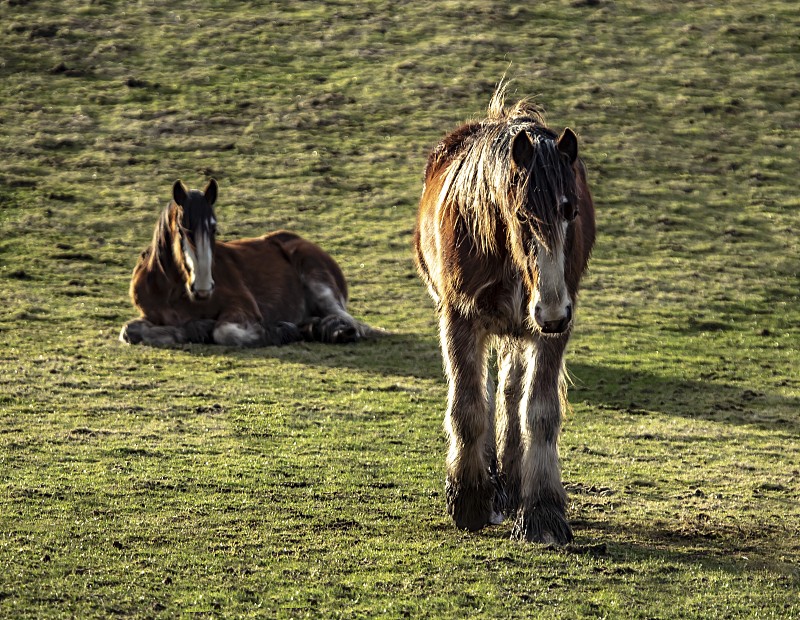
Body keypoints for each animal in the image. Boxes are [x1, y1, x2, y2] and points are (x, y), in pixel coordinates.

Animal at [120, 178, 380, 348]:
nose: (203, 288)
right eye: (184, 229)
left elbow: (224, 332)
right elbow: (130, 331)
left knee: (352, 323)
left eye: (214, 228)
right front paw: (194, 329)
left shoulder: (243, 307)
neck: (173, 292)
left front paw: (282, 330)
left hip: (319, 282)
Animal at [416, 83, 596, 544]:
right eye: (521, 214)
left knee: (511, 396)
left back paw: (513, 484)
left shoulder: (548, 333)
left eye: (570, 211)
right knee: (484, 391)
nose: (553, 311)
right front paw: (469, 499)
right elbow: (468, 407)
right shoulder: (459, 318)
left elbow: (540, 412)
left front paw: (543, 511)